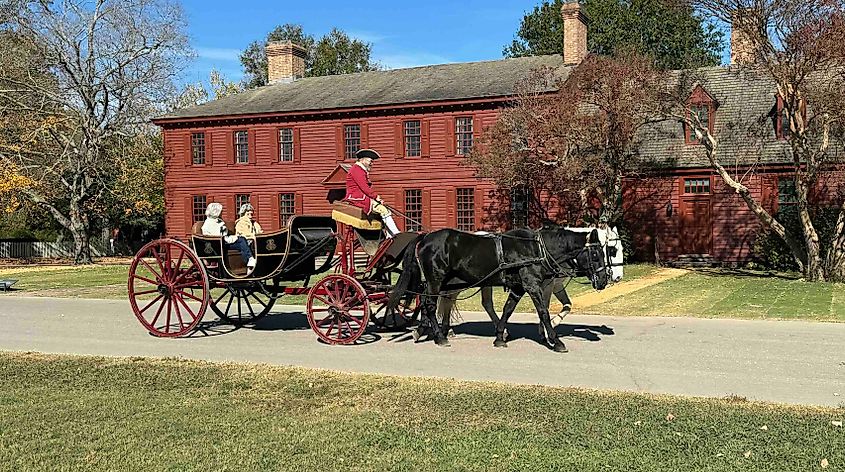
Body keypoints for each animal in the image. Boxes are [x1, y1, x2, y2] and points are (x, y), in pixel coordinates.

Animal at [386, 225, 608, 350]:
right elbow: (543, 312)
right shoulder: (532, 285)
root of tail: (424, 237)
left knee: (430, 302)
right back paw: (440, 337)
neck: (536, 249)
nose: (604, 280)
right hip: (435, 280)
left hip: (442, 282)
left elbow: (508, 309)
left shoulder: (518, 287)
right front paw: (556, 341)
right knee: (430, 305)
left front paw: (500, 336)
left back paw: (425, 331)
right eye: (595, 254)